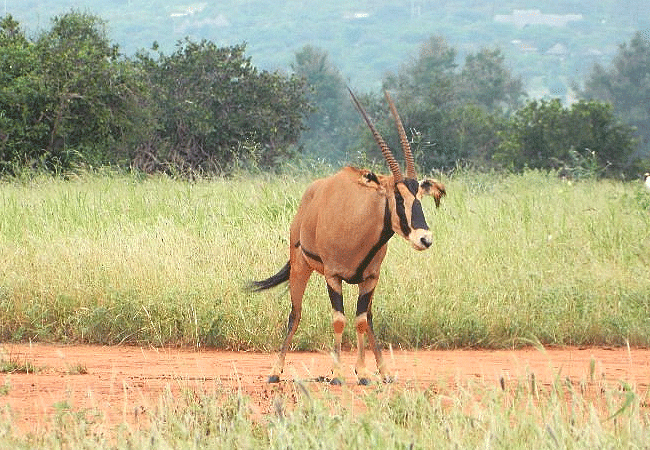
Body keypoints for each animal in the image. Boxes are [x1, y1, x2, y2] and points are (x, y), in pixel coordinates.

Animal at [251, 89, 442, 384]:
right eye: (398, 198)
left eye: (419, 196)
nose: (425, 239)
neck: (359, 227)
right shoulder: (333, 276)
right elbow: (339, 319)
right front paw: (339, 374)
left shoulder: (371, 278)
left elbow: (362, 320)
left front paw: (362, 372)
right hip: (301, 266)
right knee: (295, 314)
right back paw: (276, 371)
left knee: (369, 317)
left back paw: (384, 372)